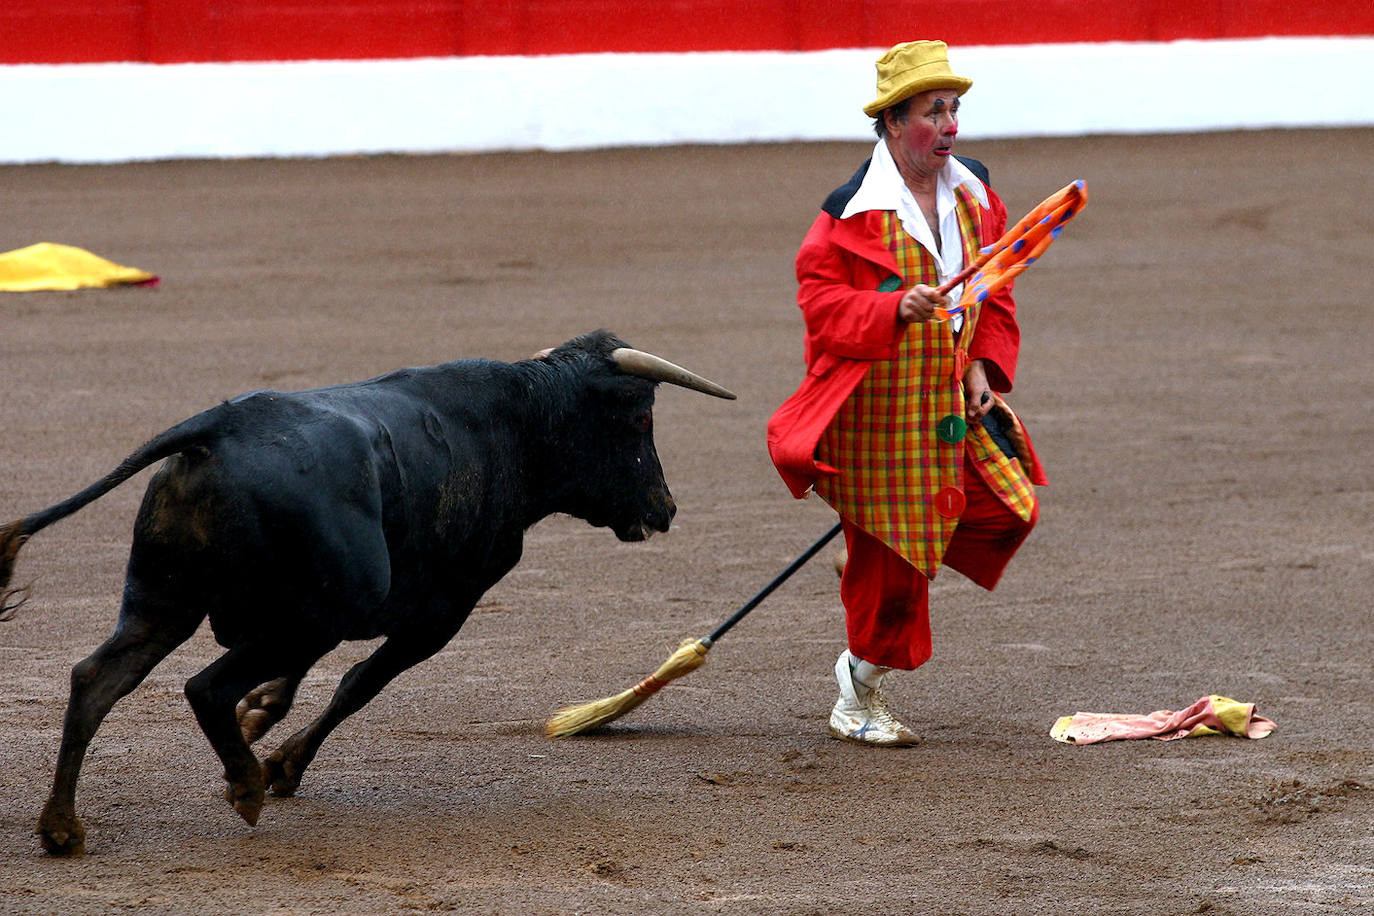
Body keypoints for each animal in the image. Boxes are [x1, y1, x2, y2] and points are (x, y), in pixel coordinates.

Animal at [0, 329, 736, 851]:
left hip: (169, 601)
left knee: (97, 678)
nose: (665, 507)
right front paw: (282, 764)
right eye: (640, 422)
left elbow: (310, 679)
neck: (520, 425)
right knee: (204, 686)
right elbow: (360, 683)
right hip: (322, 606)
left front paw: (266, 715)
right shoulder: (442, 612)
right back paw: (246, 785)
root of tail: (219, 428)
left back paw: (62, 827)